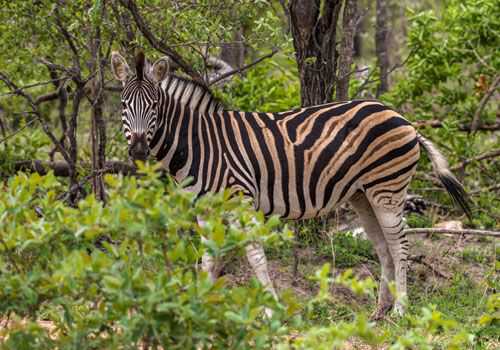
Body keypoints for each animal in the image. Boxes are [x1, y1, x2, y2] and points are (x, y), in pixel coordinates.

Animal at [111, 50, 470, 318]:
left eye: (154, 106)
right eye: (124, 105)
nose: (139, 150)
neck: (200, 144)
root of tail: (403, 119)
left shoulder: (241, 199)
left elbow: (255, 255)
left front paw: (270, 308)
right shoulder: (204, 207)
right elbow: (210, 258)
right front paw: (200, 302)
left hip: (387, 189)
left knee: (400, 245)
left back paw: (400, 310)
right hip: (361, 194)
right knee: (383, 248)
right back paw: (379, 311)